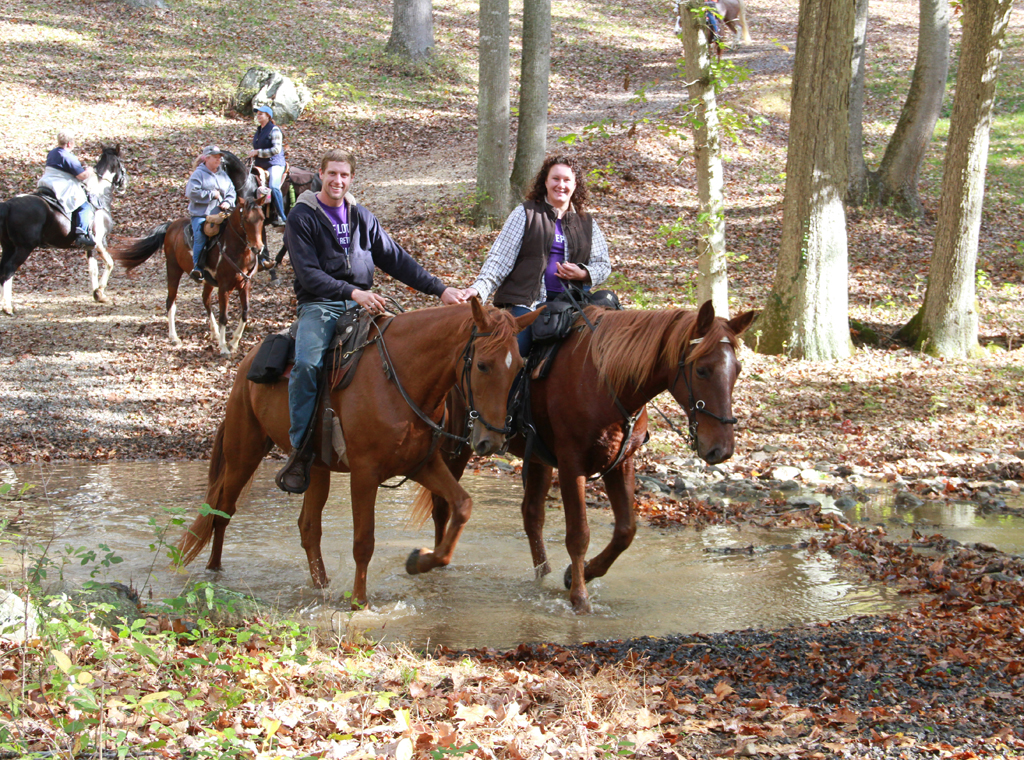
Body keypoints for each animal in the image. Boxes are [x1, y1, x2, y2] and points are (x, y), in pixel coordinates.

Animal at [0, 145, 128, 315]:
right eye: (121, 164)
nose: (124, 184)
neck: (97, 195)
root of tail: (8, 205)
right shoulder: (101, 242)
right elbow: (110, 263)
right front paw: (100, 292)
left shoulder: (90, 245)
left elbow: (93, 269)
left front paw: (97, 295)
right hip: (23, 248)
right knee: (8, 270)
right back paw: (7, 307)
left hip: (8, 247)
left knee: (2, 270)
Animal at [112, 197, 266, 356]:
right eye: (246, 219)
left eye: (262, 218)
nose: (258, 248)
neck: (235, 250)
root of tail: (171, 226)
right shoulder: (224, 288)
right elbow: (224, 317)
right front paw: (223, 347)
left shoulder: (245, 285)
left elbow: (245, 313)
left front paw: (234, 343)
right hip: (173, 269)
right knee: (171, 302)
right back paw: (174, 337)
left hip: (207, 281)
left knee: (205, 300)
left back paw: (214, 332)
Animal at [176, 301, 544, 610]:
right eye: (482, 365)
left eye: (519, 367)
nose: (491, 441)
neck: (399, 380)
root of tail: (246, 362)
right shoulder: (365, 474)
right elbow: (364, 541)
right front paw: (359, 603)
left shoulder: (422, 464)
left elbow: (462, 505)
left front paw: (420, 561)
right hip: (244, 452)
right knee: (221, 510)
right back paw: (213, 573)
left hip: (315, 468)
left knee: (308, 527)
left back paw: (322, 586)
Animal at [411, 301, 757, 614]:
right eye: (702, 369)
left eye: (737, 370)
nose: (722, 449)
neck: (604, 380)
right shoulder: (570, 465)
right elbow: (578, 534)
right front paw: (579, 598)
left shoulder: (621, 464)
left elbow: (625, 531)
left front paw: (575, 576)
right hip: (457, 446)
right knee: (443, 505)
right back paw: (435, 561)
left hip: (535, 459)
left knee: (531, 515)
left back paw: (542, 576)